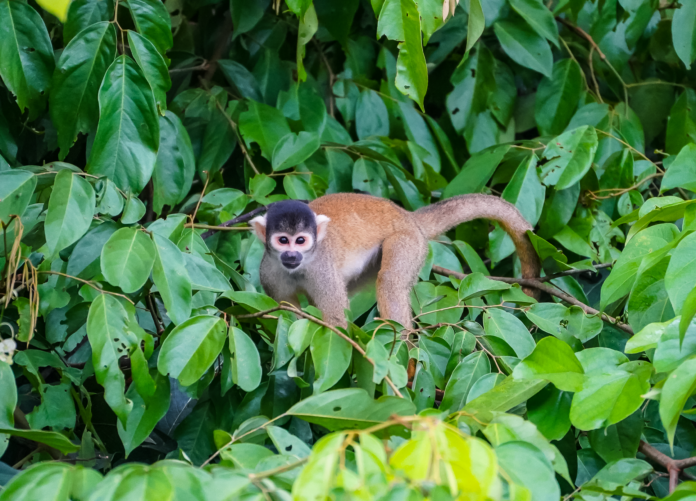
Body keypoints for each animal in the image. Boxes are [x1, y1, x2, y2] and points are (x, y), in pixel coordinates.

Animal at [250, 193, 540, 329]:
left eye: (300, 241)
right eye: (283, 241)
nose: (291, 255)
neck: (301, 267)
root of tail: (406, 215)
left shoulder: (321, 269)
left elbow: (336, 321)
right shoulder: (268, 271)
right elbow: (284, 311)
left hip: (408, 240)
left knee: (389, 281)